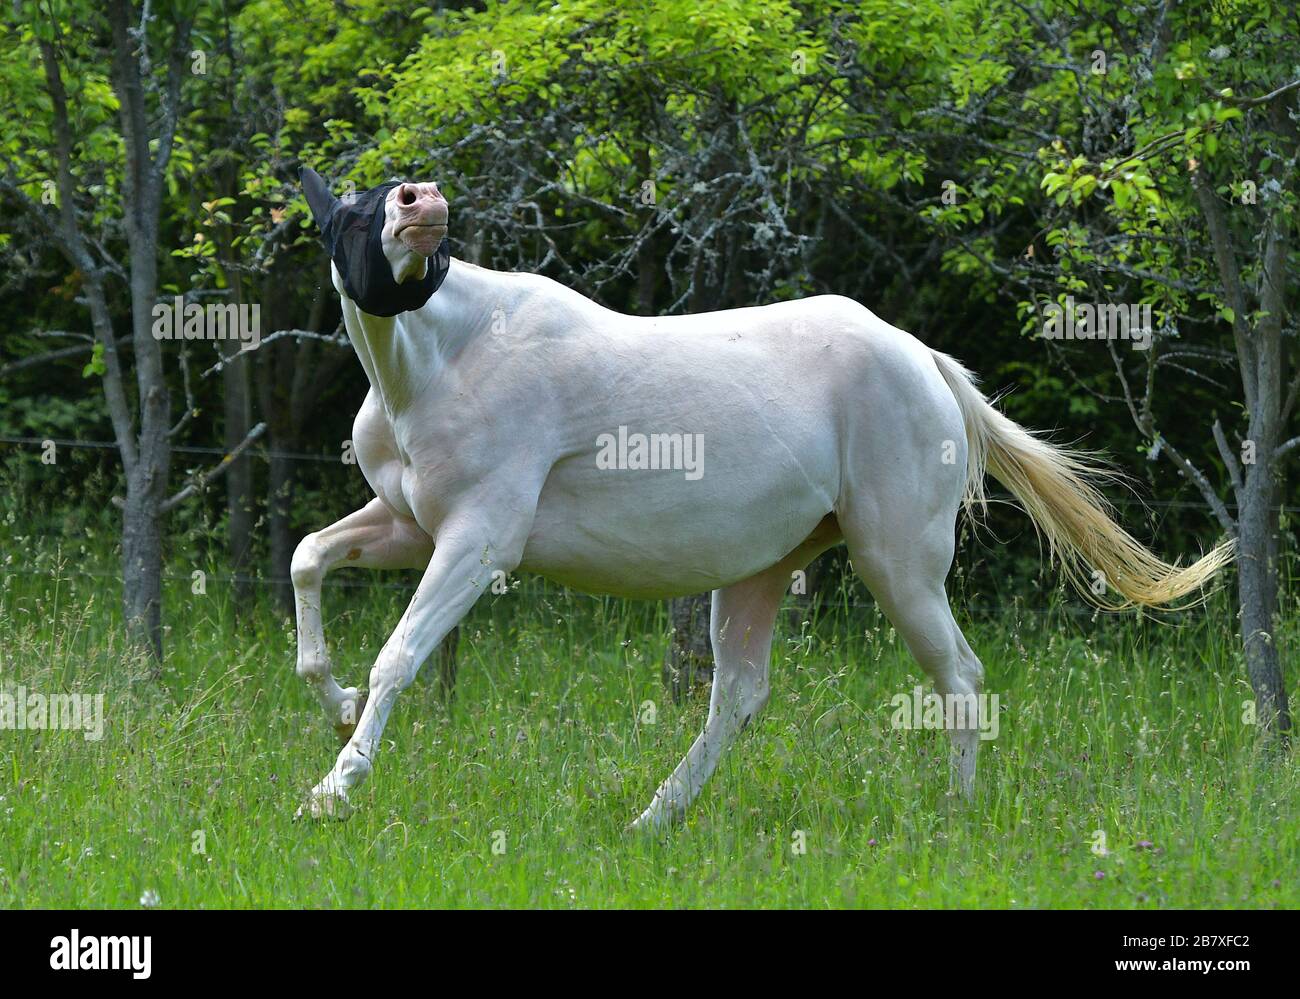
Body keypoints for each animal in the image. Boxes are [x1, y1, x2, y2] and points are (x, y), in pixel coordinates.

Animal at [292, 169, 1227, 827]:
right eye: (349, 212)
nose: (422, 202)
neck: (438, 360)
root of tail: (927, 361)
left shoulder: (480, 541)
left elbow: (400, 655)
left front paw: (332, 789)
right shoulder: (412, 526)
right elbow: (308, 560)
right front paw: (335, 706)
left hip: (900, 567)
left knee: (959, 675)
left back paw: (956, 815)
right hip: (762, 570)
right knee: (737, 698)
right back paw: (651, 820)